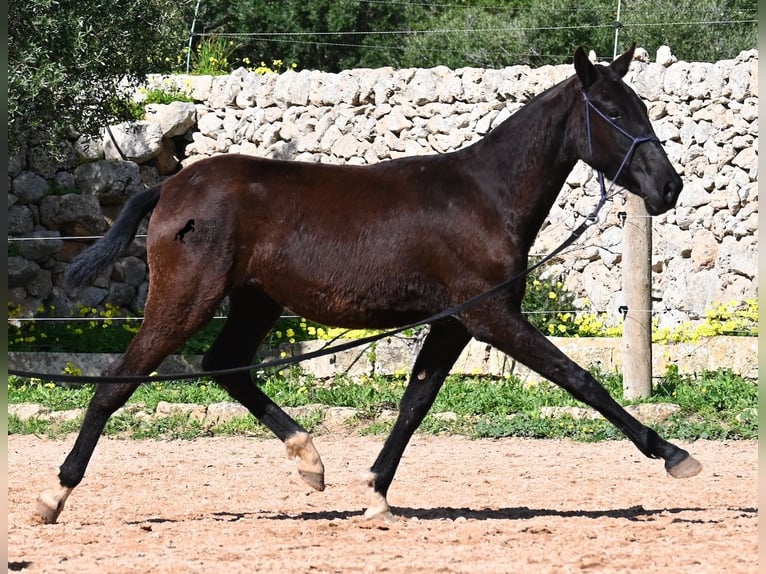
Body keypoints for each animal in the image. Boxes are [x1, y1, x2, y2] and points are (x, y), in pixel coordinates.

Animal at [40, 46, 704, 528]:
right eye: (614, 112)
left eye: (641, 107)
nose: (669, 188)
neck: (484, 197)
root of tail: (170, 187)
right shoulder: (491, 316)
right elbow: (579, 378)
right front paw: (675, 455)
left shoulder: (454, 320)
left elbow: (415, 403)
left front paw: (376, 493)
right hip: (187, 299)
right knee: (116, 383)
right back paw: (54, 496)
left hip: (256, 300)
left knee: (226, 367)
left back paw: (310, 462)